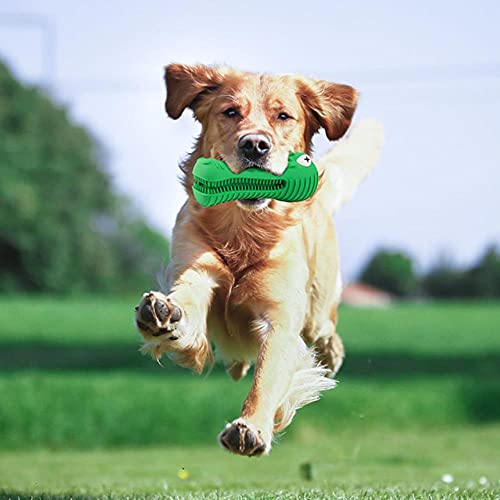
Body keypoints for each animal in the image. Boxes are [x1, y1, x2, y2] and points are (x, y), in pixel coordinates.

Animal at [134, 63, 382, 458]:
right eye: (230, 112)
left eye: (283, 116)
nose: (254, 144)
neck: (244, 229)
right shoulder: (197, 269)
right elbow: (187, 302)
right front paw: (164, 314)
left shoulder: (280, 318)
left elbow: (267, 378)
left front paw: (251, 427)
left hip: (317, 307)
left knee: (326, 329)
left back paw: (331, 355)